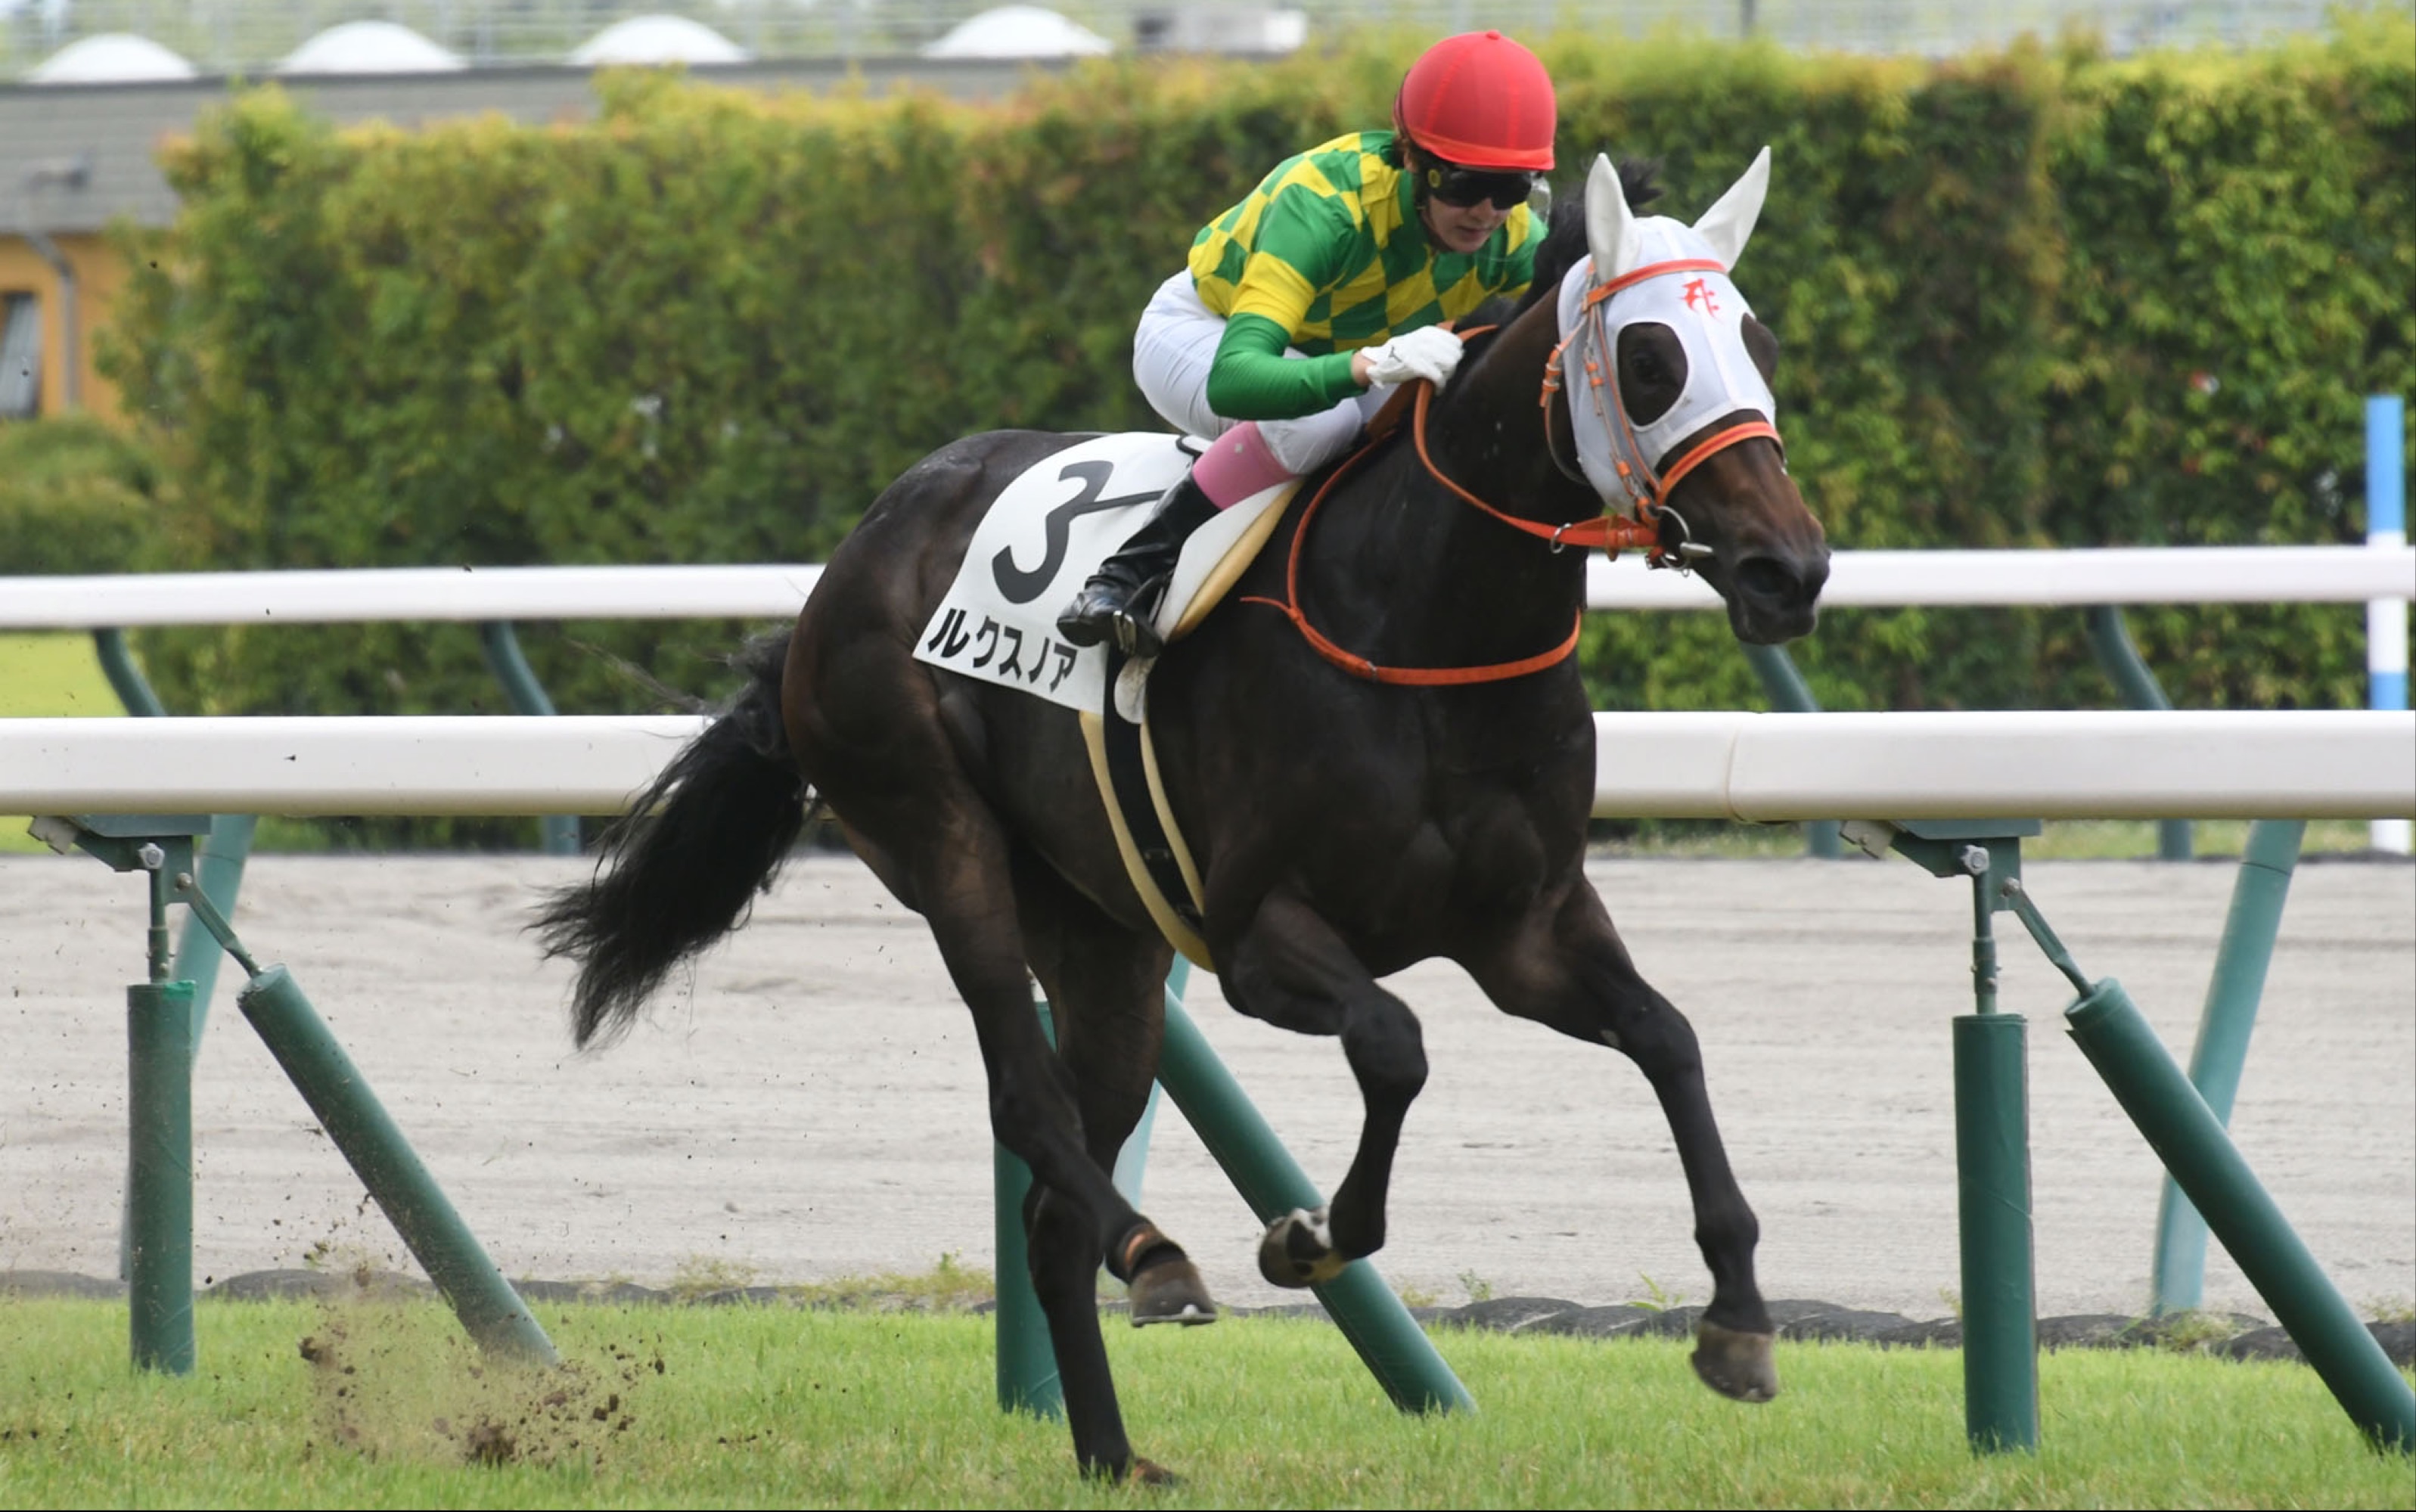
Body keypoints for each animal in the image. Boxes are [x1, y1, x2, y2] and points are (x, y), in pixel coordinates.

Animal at [537, 149, 1830, 1482]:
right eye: (1648, 359)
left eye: (1762, 343)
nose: (1789, 569)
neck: (1424, 624)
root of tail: (845, 563)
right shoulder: (1258, 934)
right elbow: (1394, 1042)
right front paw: (1306, 1234)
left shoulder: (1526, 929)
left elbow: (1668, 1037)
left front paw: (1738, 1322)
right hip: (938, 830)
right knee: (1028, 1100)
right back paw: (1154, 1254)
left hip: (1101, 935)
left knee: (1053, 1199)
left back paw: (1113, 1450)